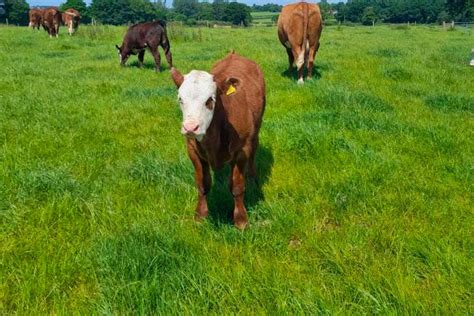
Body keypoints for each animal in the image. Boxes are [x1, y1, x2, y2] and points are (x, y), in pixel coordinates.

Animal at [171, 51, 266, 230]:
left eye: (209, 100)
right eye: (180, 99)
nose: (190, 127)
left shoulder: (241, 151)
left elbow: (237, 186)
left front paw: (241, 220)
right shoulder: (193, 151)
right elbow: (202, 184)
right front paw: (200, 216)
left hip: (257, 127)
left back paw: (252, 177)